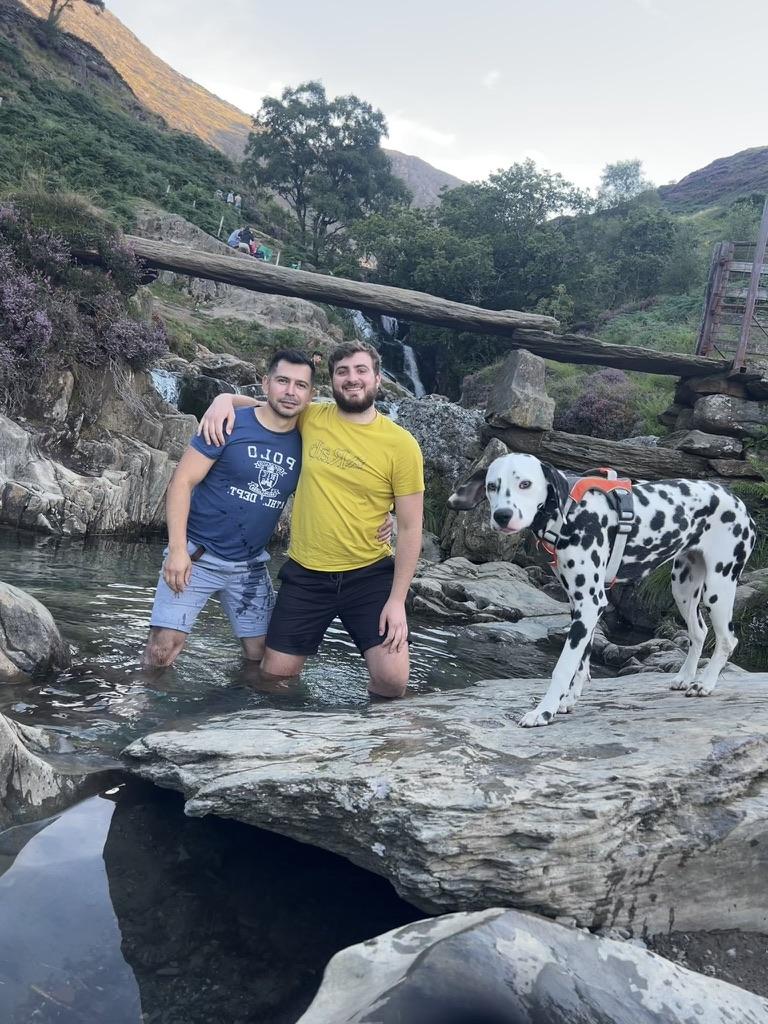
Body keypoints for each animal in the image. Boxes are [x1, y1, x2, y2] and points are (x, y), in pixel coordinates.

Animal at [448, 453, 756, 727]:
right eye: (492, 486)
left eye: (525, 483)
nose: (502, 515)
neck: (569, 514)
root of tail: (739, 503)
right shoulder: (581, 606)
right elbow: (582, 662)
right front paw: (567, 701)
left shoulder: (589, 603)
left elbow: (563, 667)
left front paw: (543, 712)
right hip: (683, 585)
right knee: (699, 631)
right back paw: (685, 677)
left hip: (718, 587)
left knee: (727, 639)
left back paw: (705, 683)